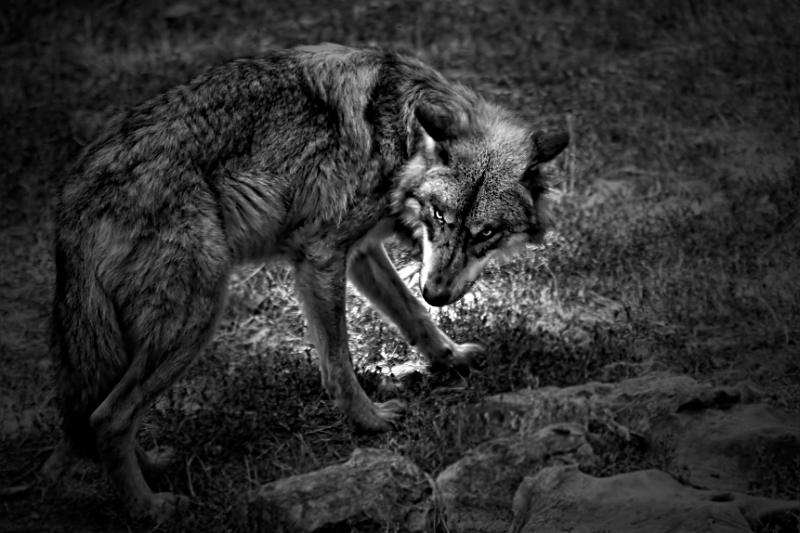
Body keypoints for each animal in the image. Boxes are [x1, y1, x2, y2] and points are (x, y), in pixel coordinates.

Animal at [45, 43, 569, 521]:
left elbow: (412, 314)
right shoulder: (319, 257)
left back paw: (155, 466)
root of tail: (73, 193)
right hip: (197, 317)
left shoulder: (359, 253)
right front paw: (371, 423)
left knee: (98, 415)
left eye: (485, 233)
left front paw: (451, 356)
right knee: (107, 418)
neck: (400, 140)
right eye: (440, 216)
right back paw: (149, 508)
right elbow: (339, 363)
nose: (438, 292)